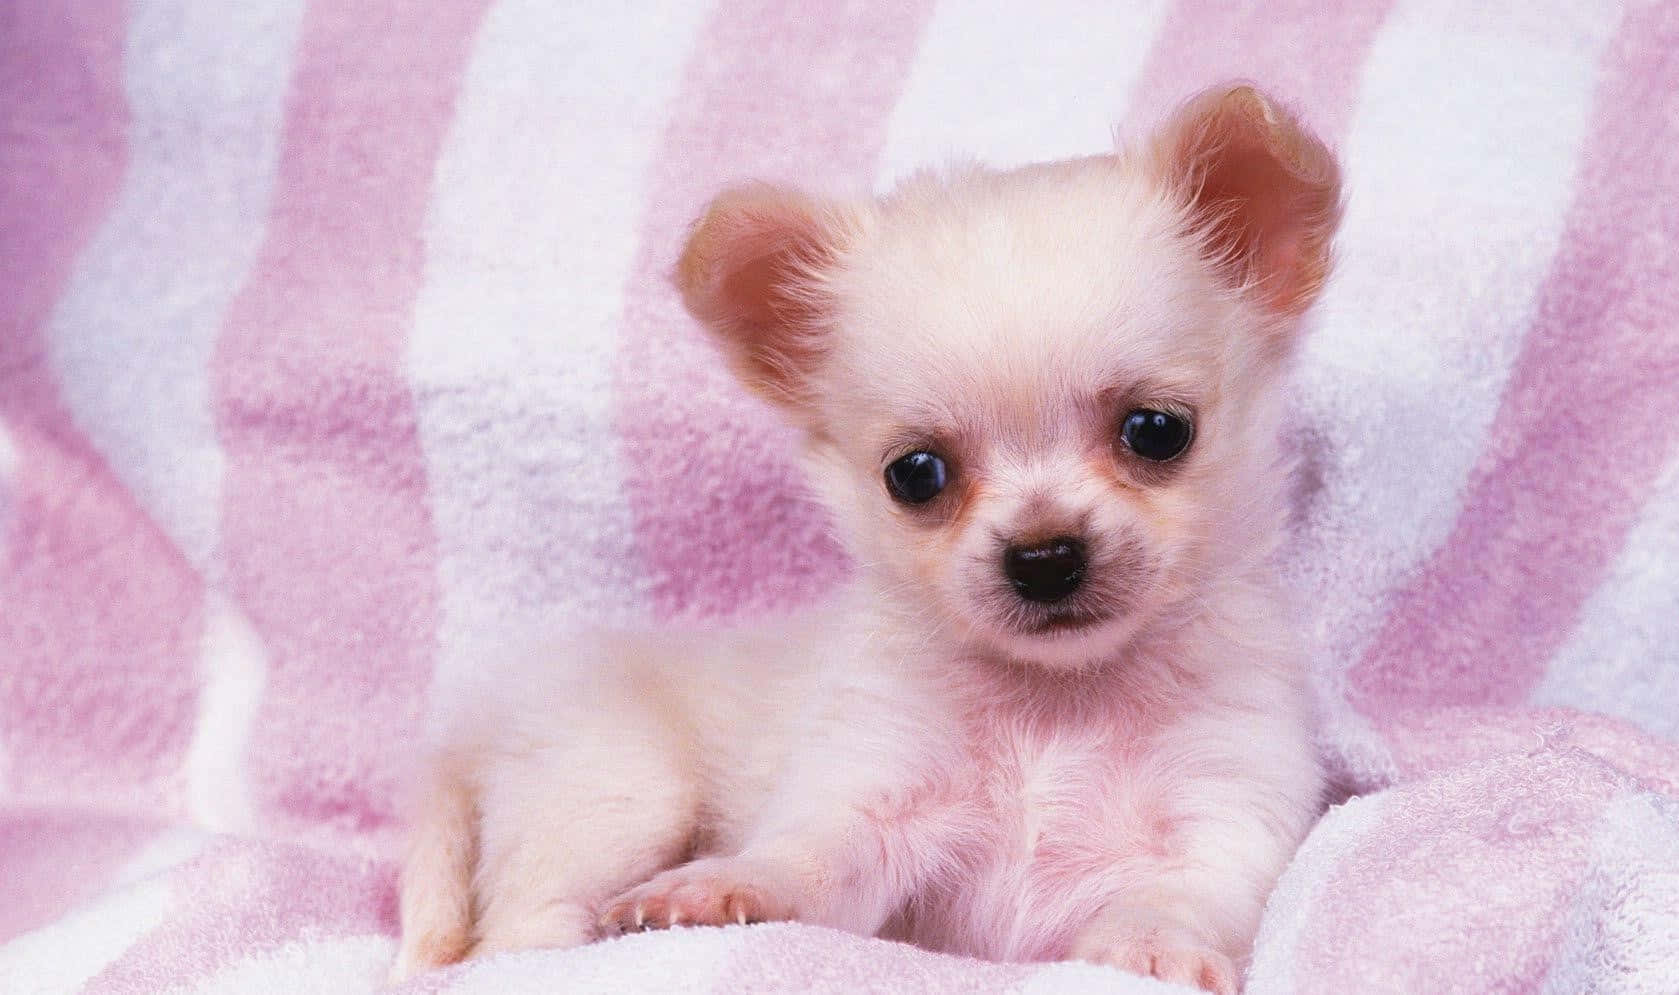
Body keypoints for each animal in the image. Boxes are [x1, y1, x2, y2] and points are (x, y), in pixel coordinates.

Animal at [389, 85, 1336, 993]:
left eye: (1155, 430)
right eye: (914, 475)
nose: (1042, 558)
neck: (1057, 703)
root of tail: (472, 723)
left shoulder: (1228, 814)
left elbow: (1182, 893)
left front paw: (1149, 943)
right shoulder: (870, 798)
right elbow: (802, 857)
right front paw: (722, 883)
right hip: (621, 790)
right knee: (514, 931)